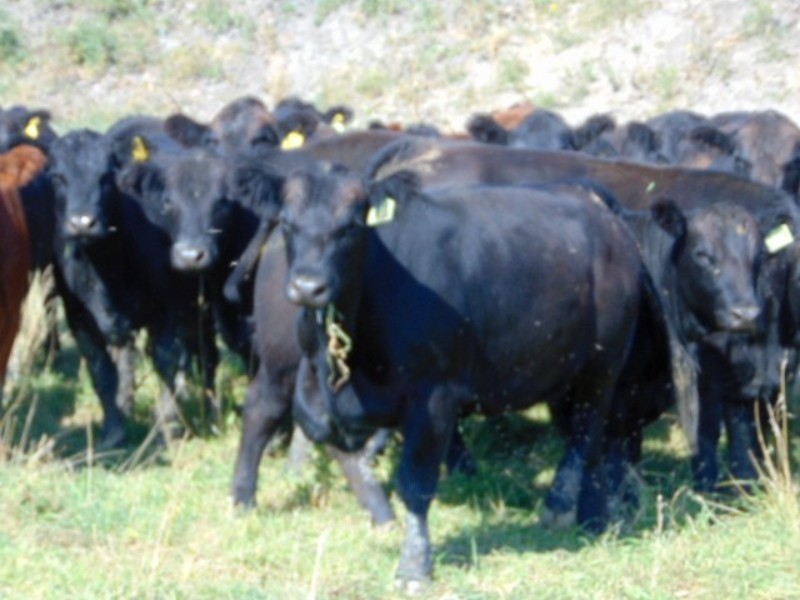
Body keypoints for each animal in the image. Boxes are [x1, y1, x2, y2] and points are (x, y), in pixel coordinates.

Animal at [280, 167, 674, 586]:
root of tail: (598, 206)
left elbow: (416, 482)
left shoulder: (434, 396)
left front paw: (414, 565)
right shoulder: (320, 390)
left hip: (601, 367)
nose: (308, 286)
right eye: (286, 223)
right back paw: (593, 518)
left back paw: (560, 504)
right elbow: (317, 424)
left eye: (352, 225)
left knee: (587, 432)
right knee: (594, 444)